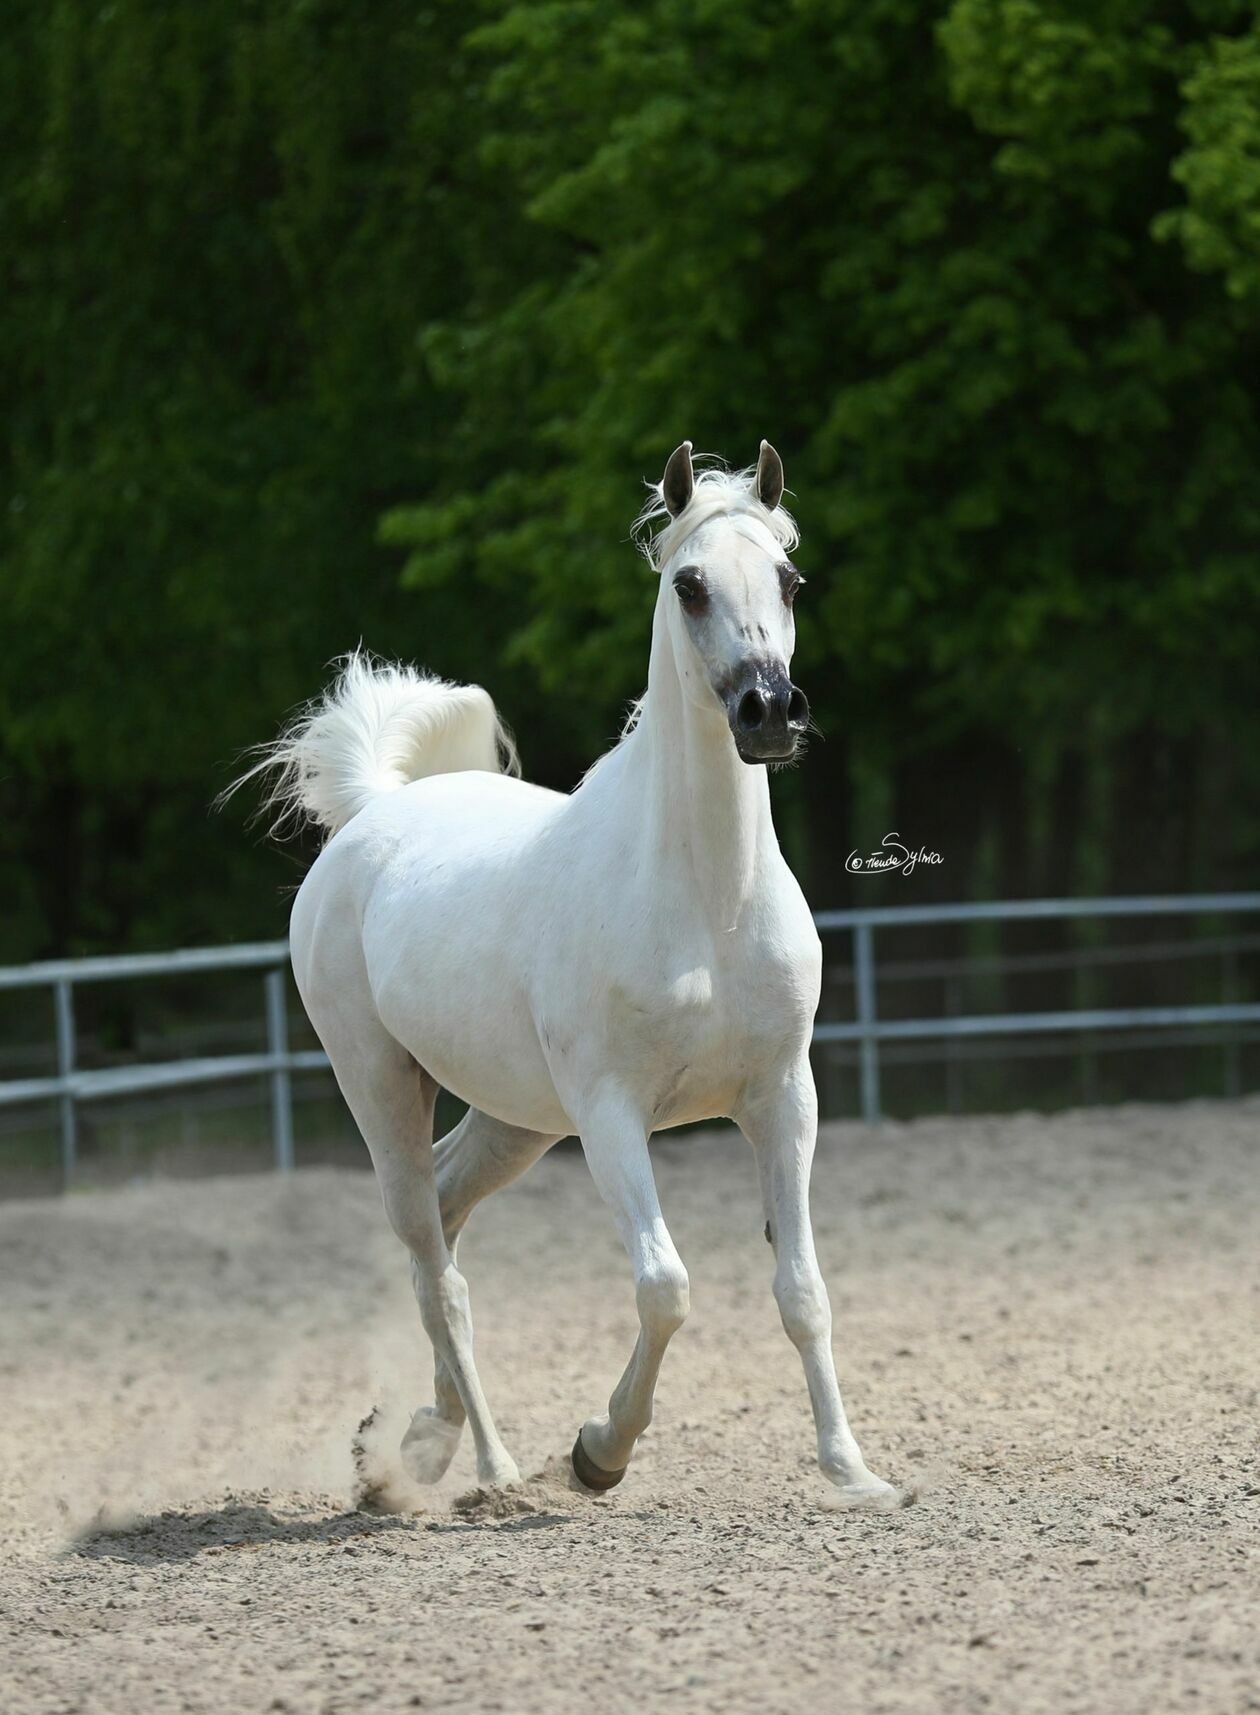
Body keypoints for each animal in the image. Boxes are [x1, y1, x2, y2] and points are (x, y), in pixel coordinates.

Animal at [241, 449, 898, 1509]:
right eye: (689, 583)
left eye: (791, 580)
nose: (769, 713)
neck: (703, 901)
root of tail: (374, 814)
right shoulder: (611, 1113)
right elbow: (666, 1288)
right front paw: (600, 1449)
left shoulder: (781, 1098)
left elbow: (803, 1290)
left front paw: (853, 1471)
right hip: (382, 1090)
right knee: (440, 1274)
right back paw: (491, 1469)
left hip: (515, 1120)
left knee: (446, 1221)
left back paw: (420, 1439)